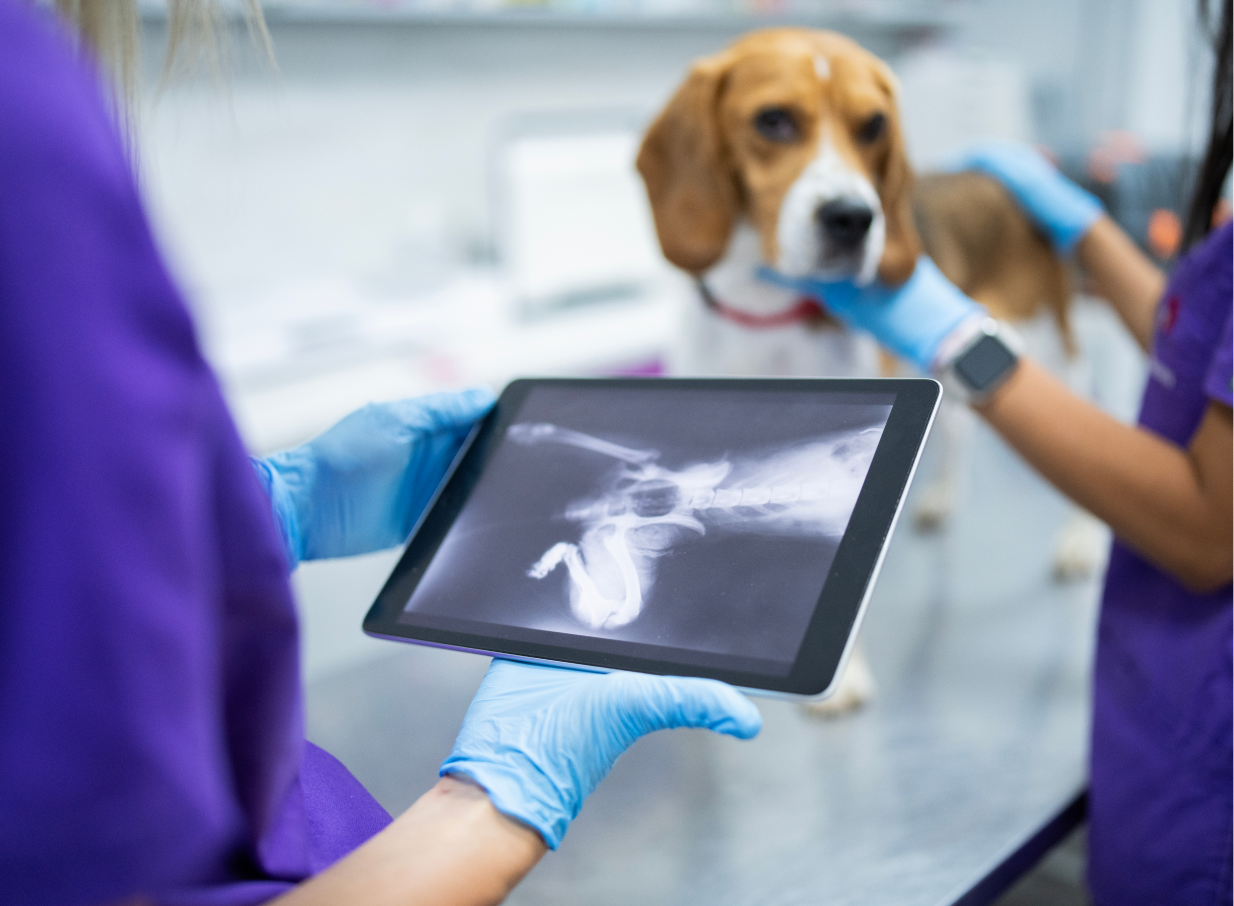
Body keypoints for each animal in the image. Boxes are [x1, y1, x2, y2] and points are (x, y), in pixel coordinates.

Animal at [636, 28, 1100, 715]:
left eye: (875, 124)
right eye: (773, 120)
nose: (854, 217)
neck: (767, 318)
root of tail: (997, 175)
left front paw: (841, 679)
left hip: (1050, 346)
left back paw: (1081, 540)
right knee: (961, 423)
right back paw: (940, 499)